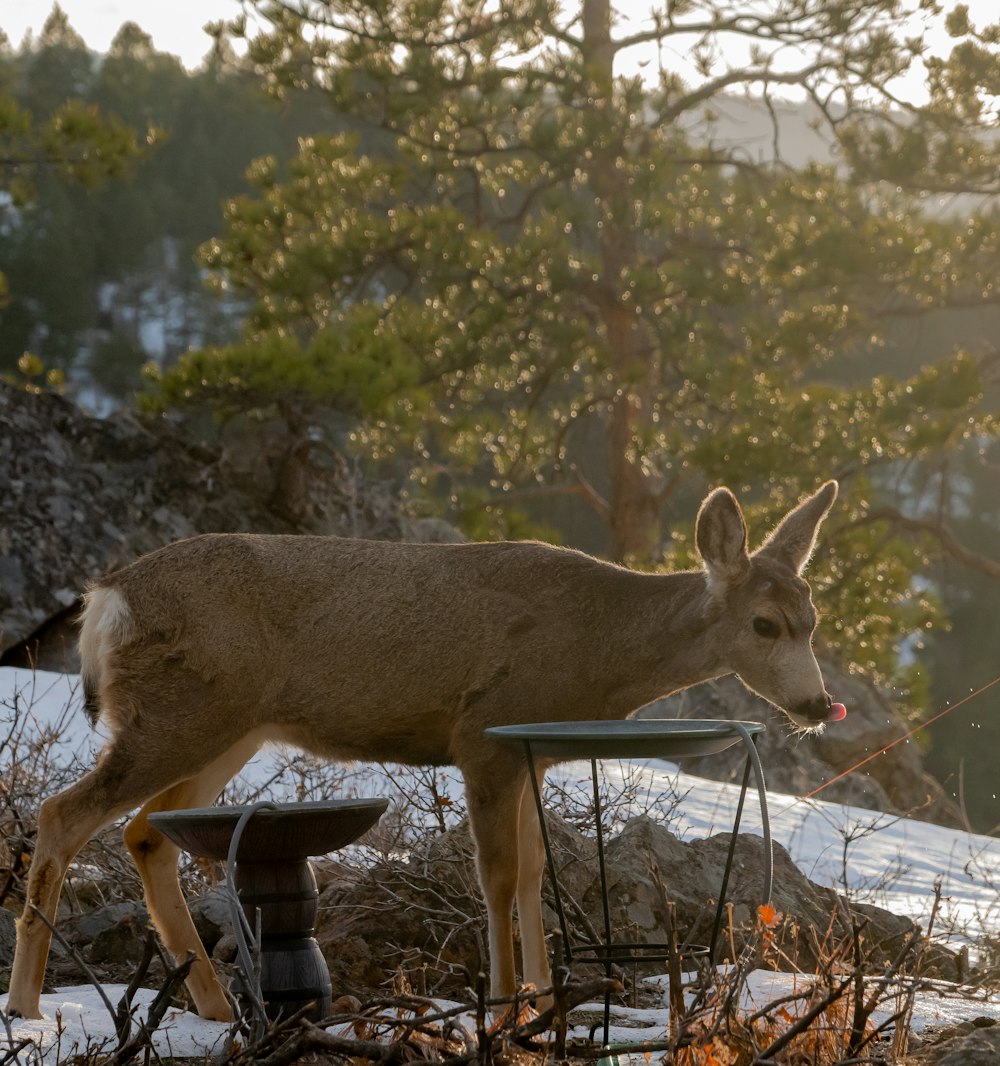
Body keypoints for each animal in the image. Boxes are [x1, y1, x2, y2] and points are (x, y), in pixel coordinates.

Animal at [7, 479, 840, 1019]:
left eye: (813, 618)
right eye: (764, 624)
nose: (816, 705)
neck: (598, 646)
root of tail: (104, 599)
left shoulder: (536, 751)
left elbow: (534, 874)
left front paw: (543, 999)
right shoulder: (483, 734)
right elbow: (496, 878)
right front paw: (504, 1008)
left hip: (228, 726)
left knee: (145, 831)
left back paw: (211, 1007)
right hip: (183, 715)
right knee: (63, 813)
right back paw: (26, 1005)